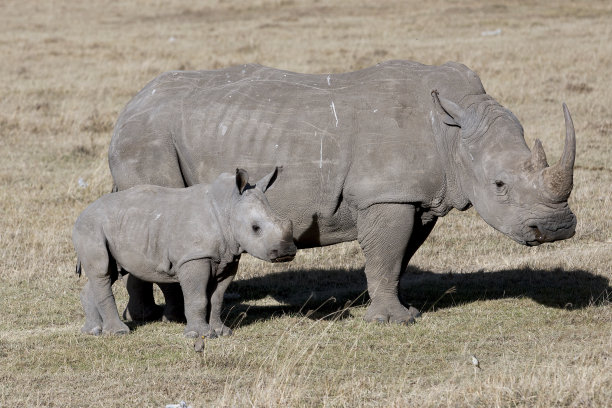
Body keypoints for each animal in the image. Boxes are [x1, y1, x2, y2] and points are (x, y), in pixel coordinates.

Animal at [73, 167, 296, 336]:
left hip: (115, 227)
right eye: (255, 228)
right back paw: (118, 332)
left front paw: (222, 332)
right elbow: (198, 297)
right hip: (90, 228)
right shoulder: (194, 257)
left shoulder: (227, 257)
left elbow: (217, 298)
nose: (287, 252)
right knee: (102, 271)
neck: (228, 206)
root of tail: (81, 213)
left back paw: (93, 330)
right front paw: (200, 335)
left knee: (109, 272)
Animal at [107, 61, 576, 326]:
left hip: (149, 133)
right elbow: (387, 255)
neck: (454, 133)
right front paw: (394, 323)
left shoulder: (417, 197)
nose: (558, 228)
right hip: (149, 136)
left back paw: (149, 317)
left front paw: (399, 310)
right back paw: (169, 317)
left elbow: (398, 258)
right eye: (499, 185)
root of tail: (128, 107)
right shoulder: (386, 195)